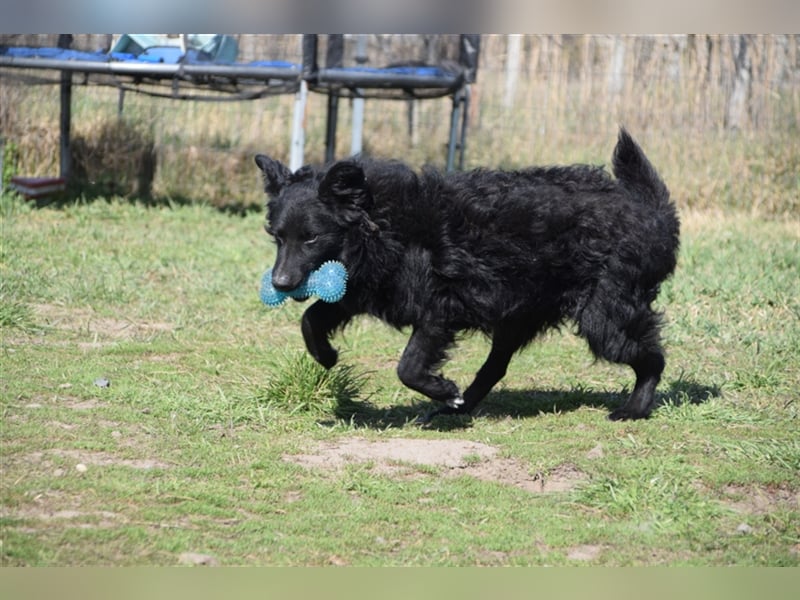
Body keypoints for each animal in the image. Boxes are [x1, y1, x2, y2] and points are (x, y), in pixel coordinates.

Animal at [258, 130, 680, 422]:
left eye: (311, 237)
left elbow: (408, 366)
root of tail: (650, 211)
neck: (383, 223)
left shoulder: (438, 310)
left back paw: (635, 408)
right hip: (520, 315)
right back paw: (458, 408)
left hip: (602, 318)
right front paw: (326, 355)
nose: (280, 283)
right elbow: (311, 318)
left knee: (653, 359)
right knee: (495, 367)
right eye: (276, 237)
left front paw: (442, 388)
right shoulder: (364, 288)